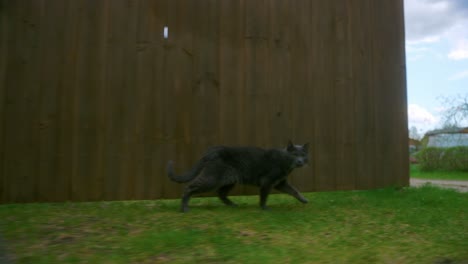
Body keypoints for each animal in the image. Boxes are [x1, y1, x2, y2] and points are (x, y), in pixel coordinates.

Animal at [166, 140, 308, 212]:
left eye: (303, 155)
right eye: (295, 154)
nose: (300, 161)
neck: (284, 161)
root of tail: (211, 150)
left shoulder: (280, 183)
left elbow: (294, 191)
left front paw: (304, 200)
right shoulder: (267, 182)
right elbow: (264, 196)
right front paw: (264, 208)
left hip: (229, 181)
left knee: (221, 193)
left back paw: (232, 205)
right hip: (212, 179)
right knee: (189, 188)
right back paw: (184, 208)